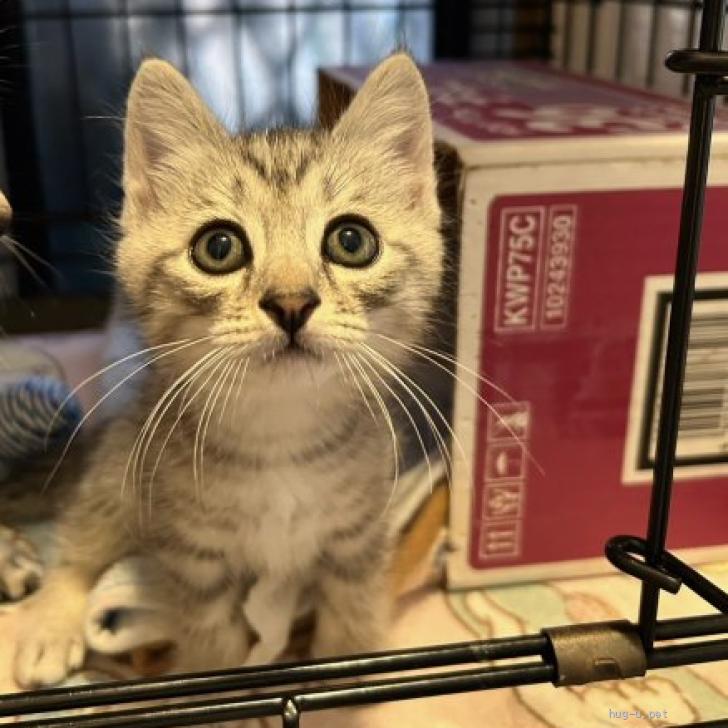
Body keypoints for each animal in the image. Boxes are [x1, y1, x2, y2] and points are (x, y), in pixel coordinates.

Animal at [12, 51, 443, 687]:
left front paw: (347, 675)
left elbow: (351, 609)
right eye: (219, 248)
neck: (283, 442)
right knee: (82, 532)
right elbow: (213, 644)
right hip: (122, 470)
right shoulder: (193, 557)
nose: (291, 303)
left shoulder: (359, 535)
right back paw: (50, 618)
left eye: (351, 240)